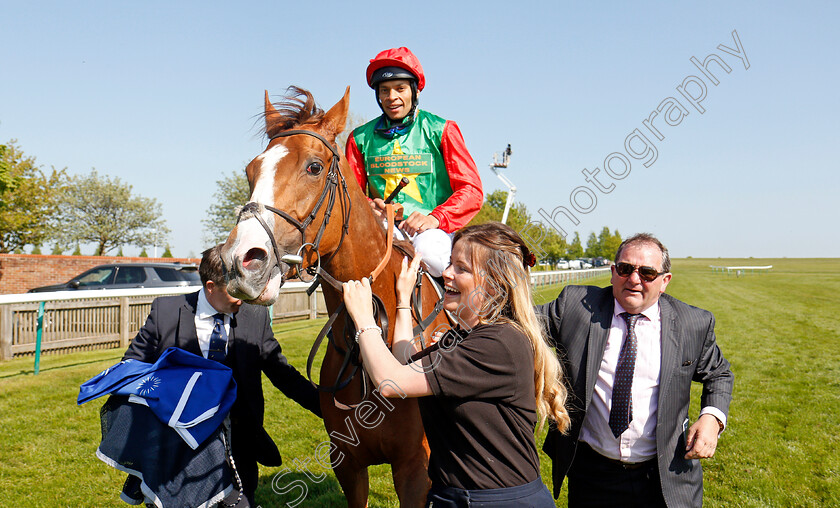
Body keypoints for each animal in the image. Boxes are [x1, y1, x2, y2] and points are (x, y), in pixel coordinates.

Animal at [221, 86, 446, 504]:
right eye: (251, 171)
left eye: (314, 167)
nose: (240, 261)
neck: (367, 352)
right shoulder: (347, 465)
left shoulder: (415, 468)